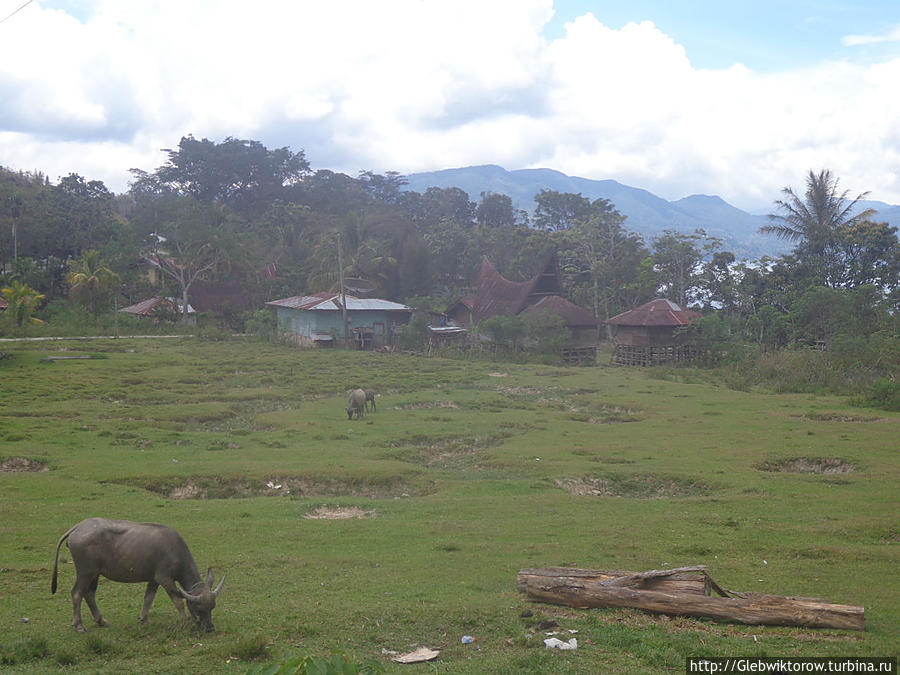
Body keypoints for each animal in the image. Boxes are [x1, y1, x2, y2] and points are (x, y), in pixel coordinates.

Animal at [51, 516, 225, 632]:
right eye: (199, 609)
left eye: (212, 608)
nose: (210, 628)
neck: (175, 551)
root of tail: (77, 528)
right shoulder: (164, 578)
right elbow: (178, 601)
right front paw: (185, 621)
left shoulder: (154, 579)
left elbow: (148, 598)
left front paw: (144, 619)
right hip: (85, 571)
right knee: (77, 593)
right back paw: (79, 625)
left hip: (95, 573)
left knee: (89, 593)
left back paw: (101, 620)